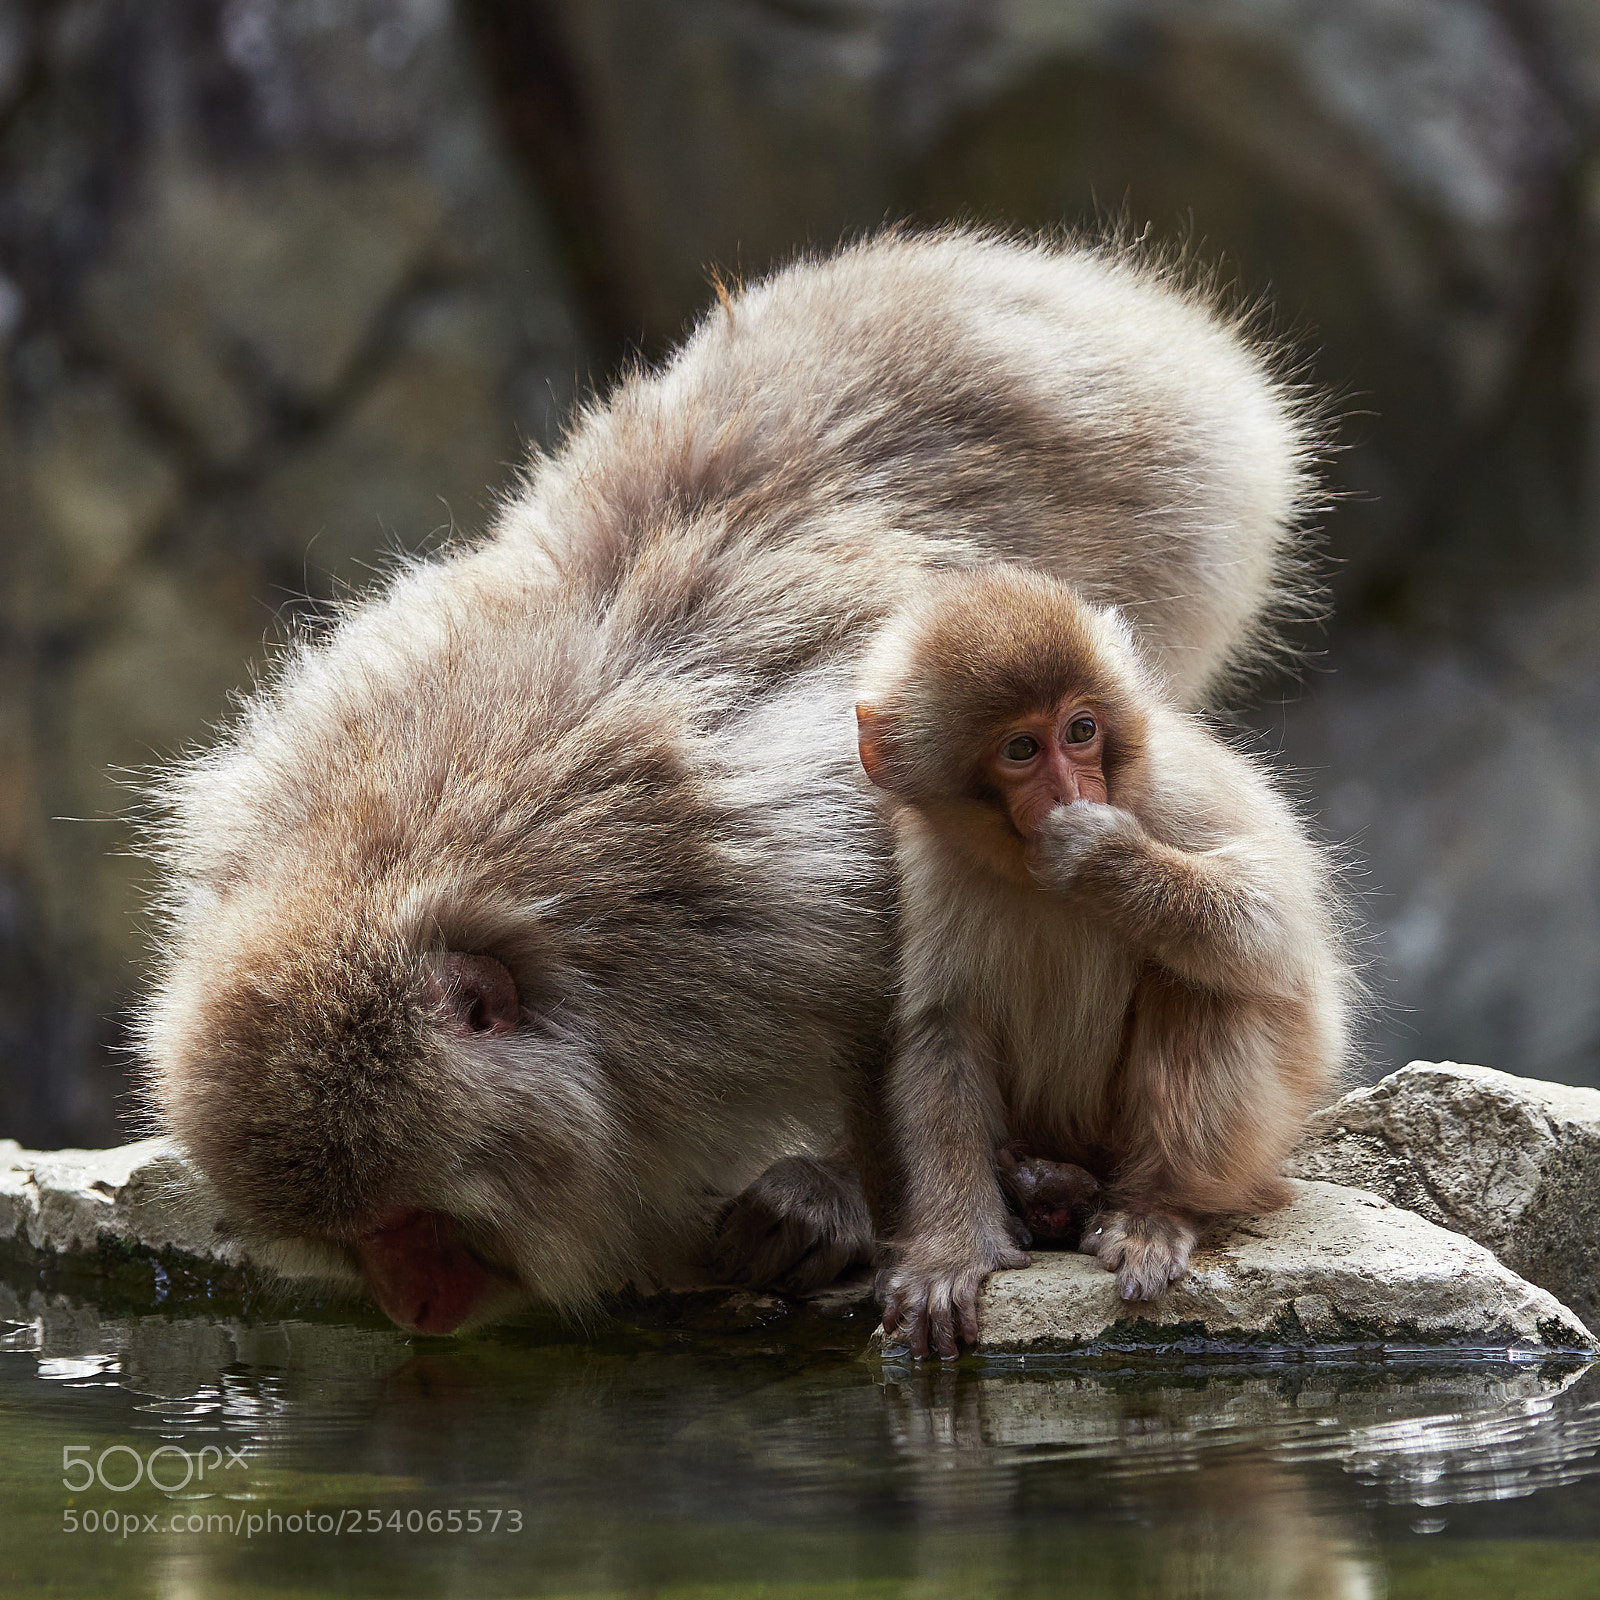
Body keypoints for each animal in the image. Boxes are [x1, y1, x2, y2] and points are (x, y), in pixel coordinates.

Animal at [854, 566, 1349, 1358]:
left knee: (1200, 978)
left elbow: (1275, 931)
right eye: (1022, 749)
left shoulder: (1177, 784)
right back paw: (1049, 1189)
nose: (1069, 790)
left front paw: (1100, 859)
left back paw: (1157, 1209)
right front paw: (951, 1248)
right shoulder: (929, 864)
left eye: (1081, 731)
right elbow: (944, 1029)